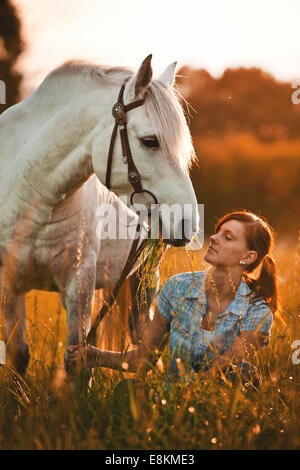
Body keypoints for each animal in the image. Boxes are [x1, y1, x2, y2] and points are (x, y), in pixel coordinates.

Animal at [0, 55, 199, 374]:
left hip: (144, 277)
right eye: (150, 141)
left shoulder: (79, 285)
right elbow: (18, 355)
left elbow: (78, 362)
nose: (188, 223)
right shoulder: (9, 284)